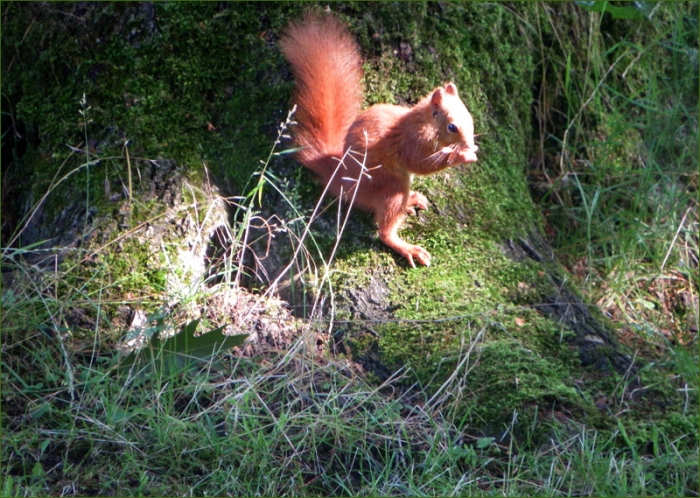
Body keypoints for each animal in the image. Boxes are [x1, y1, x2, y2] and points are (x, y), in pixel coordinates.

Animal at [280, 12, 478, 267]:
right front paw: (463, 155)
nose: (469, 143)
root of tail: (340, 177)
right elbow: (421, 163)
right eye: (452, 126)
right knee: (385, 230)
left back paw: (412, 200)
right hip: (392, 186)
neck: (421, 121)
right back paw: (407, 247)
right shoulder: (411, 140)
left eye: (470, 118)